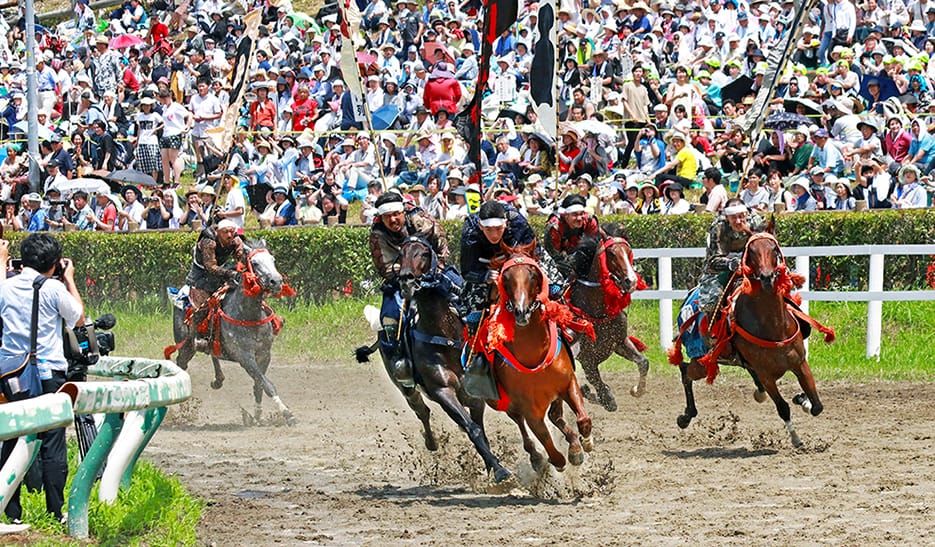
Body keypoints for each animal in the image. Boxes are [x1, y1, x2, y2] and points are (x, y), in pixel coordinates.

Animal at [167, 242, 296, 426]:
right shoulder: (245, 357)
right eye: (255, 263)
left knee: (212, 354)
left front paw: (256, 415)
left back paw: (218, 379)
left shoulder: (264, 355)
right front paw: (287, 413)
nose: (276, 281)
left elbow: (259, 384)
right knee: (181, 364)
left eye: (272, 259)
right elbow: (267, 384)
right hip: (186, 346)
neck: (248, 315)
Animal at [394, 238, 512, 482]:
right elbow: (473, 429)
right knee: (421, 410)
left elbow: (479, 428)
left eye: (424, 253)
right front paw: (498, 470)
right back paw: (431, 442)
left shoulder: (475, 393)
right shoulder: (442, 391)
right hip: (406, 386)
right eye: (400, 254)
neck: (445, 336)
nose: (406, 280)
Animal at [482, 242, 592, 474]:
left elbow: (583, 419)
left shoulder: (568, 383)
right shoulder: (529, 409)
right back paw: (537, 457)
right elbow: (548, 444)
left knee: (556, 417)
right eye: (506, 278)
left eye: (533, 274)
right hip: (506, 404)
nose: (522, 311)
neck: (533, 355)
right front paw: (555, 459)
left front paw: (583, 444)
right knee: (521, 424)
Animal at [564, 233, 652, 414]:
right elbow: (603, 392)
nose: (631, 281)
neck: (597, 312)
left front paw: (637, 390)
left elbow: (643, 363)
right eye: (611, 254)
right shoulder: (587, 358)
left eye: (629, 251)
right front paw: (599, 394)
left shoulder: (620, 342)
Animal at [672, 232, 832, 450]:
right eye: (752, 252)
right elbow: (783, 407)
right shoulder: (766, 374)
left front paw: (802, 399)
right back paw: (686, 416)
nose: (767, 277)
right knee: (685, 372)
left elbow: (817, 405)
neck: (774, 326)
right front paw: (796, 439)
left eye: (774, 249)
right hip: (703, 363)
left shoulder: (800, 363)